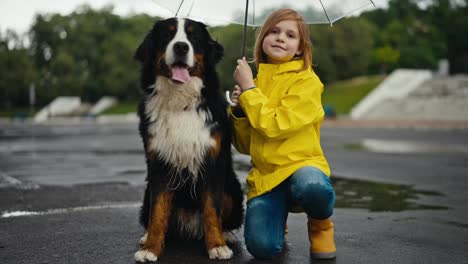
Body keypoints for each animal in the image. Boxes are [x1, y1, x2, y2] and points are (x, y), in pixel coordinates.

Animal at [131, 18, 241, 262]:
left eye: (193, 37)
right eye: (167, 35)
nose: (181, 47)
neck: (179, 101)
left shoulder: (212, 163)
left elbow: (212, 210)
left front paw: (217, 246)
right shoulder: (159, 164)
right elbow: (158, 212)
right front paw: (150, 249)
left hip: (232, 188)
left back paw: (227, 234)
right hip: (146, 193)